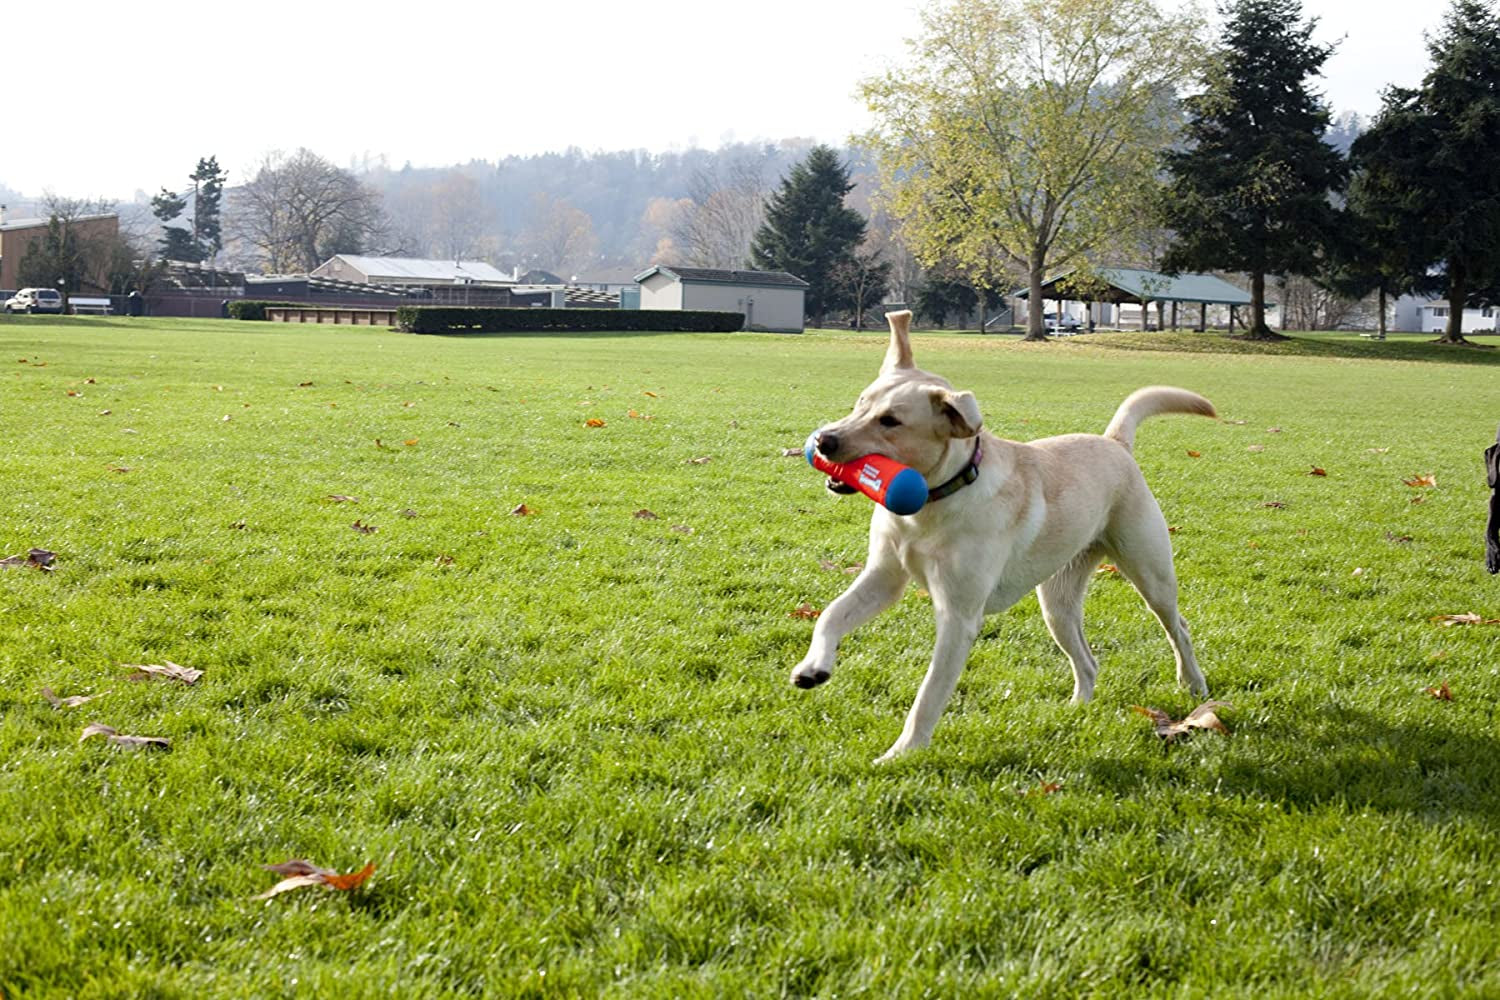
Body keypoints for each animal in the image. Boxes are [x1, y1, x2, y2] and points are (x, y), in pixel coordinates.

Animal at [792, 308, 1212, 761]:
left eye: (891, 421)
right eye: (860, 403)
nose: (823, 440)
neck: (930, 505)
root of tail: (1114, 443)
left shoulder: (958, 616)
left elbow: (929, 694)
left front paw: (902, 753)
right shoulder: (883, 577)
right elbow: (831, 614)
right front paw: (813, 668)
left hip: (1151, 574)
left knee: (1178, 628)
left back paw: (1194, 685)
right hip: (1057, 603)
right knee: (1087, 660)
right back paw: (1077, 708)